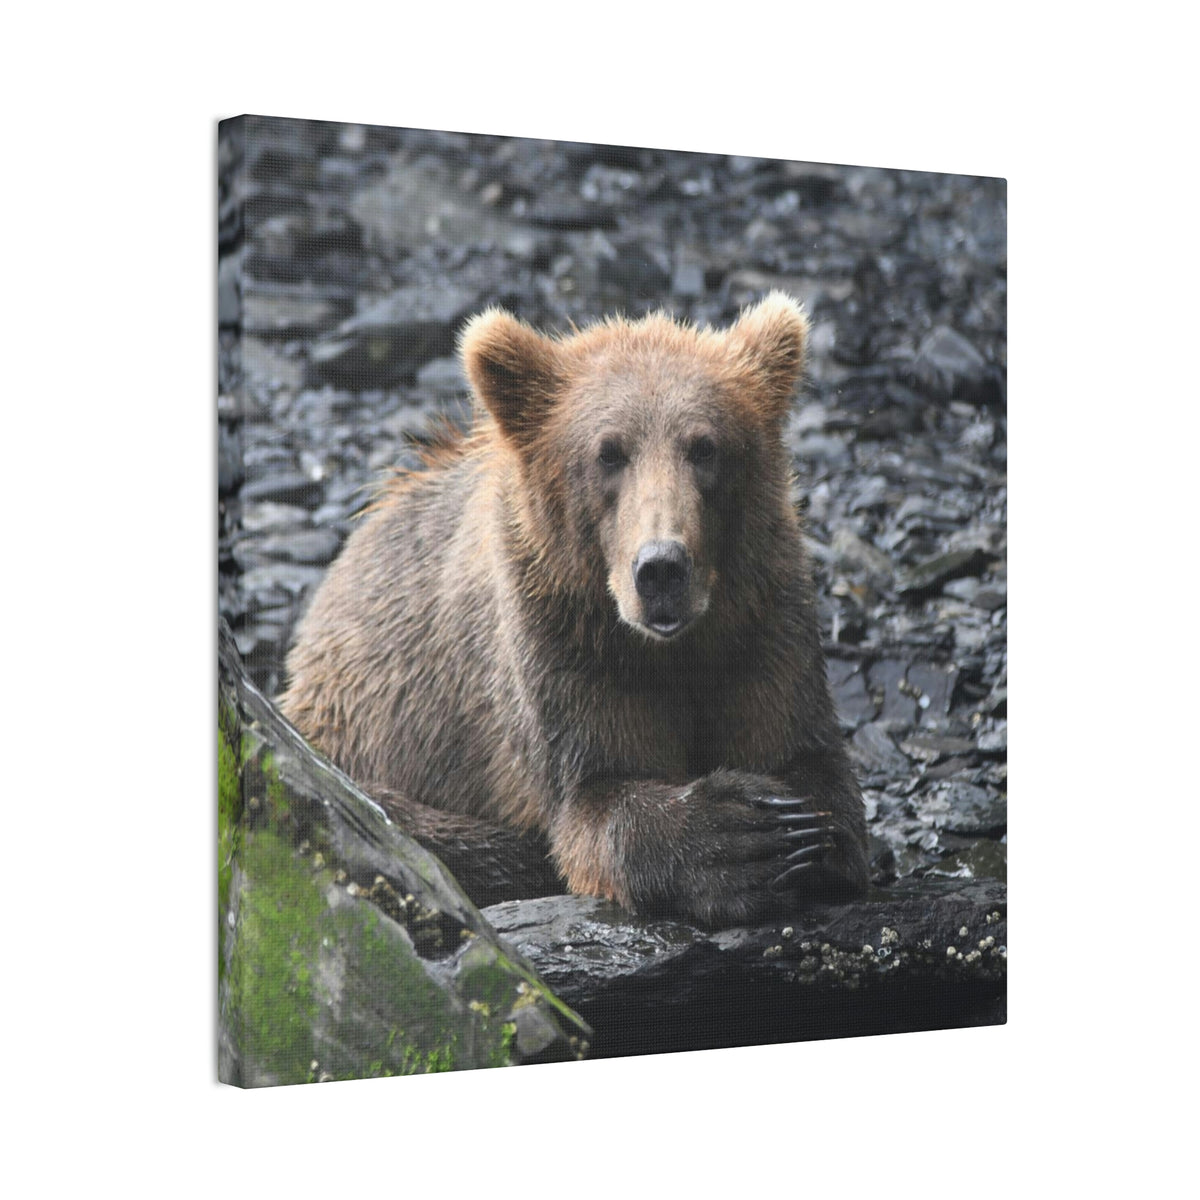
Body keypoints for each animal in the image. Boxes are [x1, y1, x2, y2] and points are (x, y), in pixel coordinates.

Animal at [280, 293, 869, 926]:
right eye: (608, 452)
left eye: (705, 446)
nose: (661, 568)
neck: (669, 650)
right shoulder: (560, 644)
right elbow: (595, 797)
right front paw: (739, 837)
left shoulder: (761, 621)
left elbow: (808, 761)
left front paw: (797, 832)